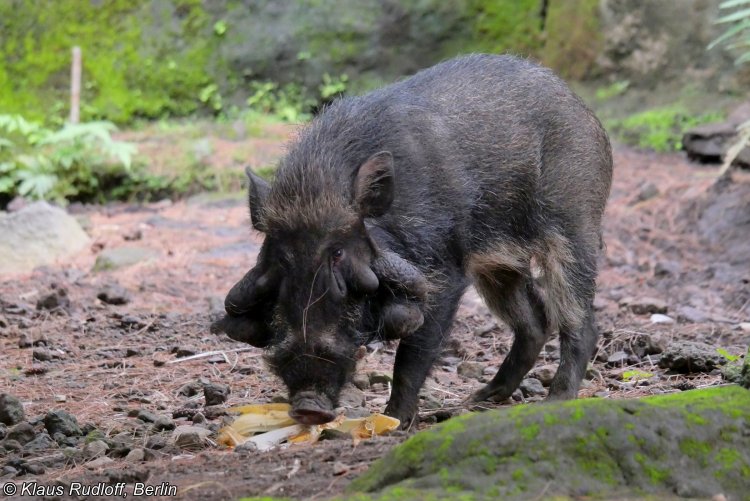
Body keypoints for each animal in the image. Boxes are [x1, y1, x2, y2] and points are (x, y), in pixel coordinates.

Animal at [212, 54, 613, 427]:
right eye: (280, 259)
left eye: (339, 253)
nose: (309, 407)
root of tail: (583, 109)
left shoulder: (443, 275)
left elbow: (414, 352)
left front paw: (395, 421)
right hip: (499, 264)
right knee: (535, 322)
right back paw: (478, 399)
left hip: (574, 227)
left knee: (579, 321)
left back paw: (555, 401)